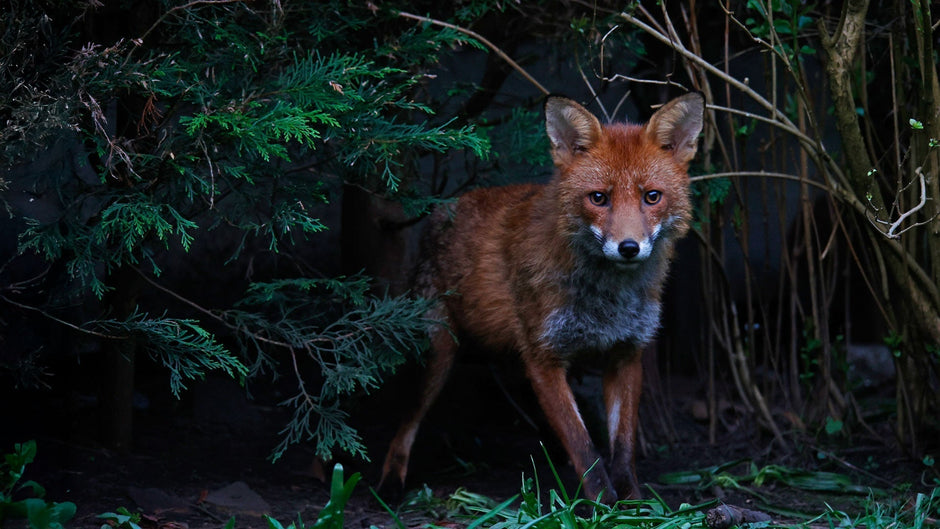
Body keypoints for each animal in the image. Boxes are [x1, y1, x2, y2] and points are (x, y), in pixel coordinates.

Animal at [380, 92, 705, 503]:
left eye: (652, 197)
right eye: (598, 198)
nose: (628, 248)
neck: (606, 299)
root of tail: (443, 209)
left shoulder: (626, 354)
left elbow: (623, 446)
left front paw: (632, 503)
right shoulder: (544, 357)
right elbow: (584, 447)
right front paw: (602, 504)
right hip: (438, 357)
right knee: (405, 422)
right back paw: (389, 483)